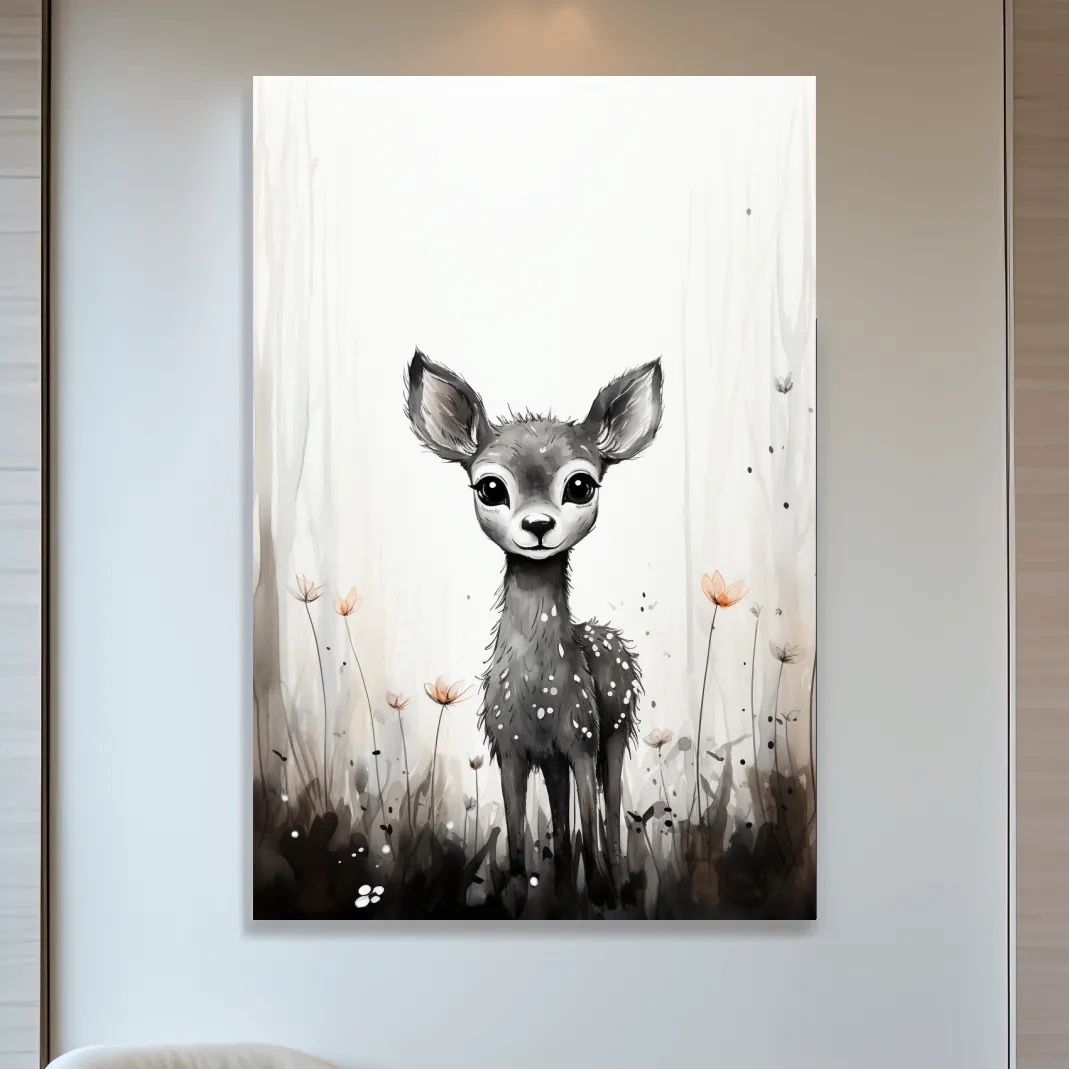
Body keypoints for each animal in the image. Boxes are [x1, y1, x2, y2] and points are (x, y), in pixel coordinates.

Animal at [405, 348, 663, 912]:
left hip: (615, 729)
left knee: (609, 816)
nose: (539, 526)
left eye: (581, 484)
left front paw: (601, 893)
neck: (539, 692)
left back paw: (612, 886)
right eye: (490, 486)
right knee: (563, 827)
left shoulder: (582, 737)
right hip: (555, 758)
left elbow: (591, 820)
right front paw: (520, 895)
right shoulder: (510, 747)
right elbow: (521, 843)